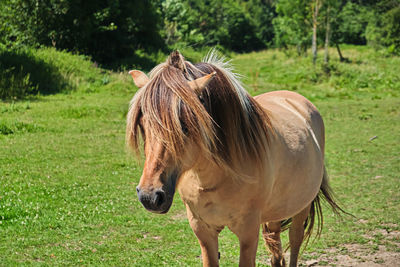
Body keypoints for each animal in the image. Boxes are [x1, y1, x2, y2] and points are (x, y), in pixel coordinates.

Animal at [126, 50, 344, 267]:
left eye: (185, 126)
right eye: (142, 124)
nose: (149, 196)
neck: (212, 178)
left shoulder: (248, 233)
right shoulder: (203, 231)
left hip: (302, 206)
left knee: (295, 239)